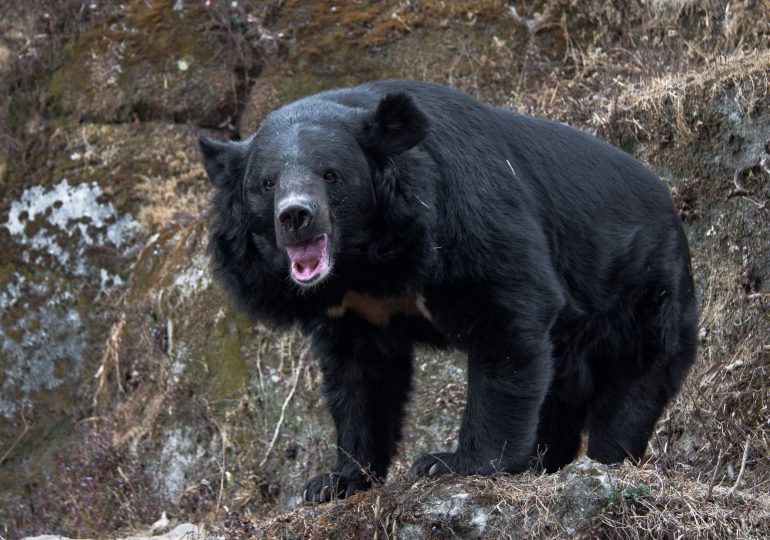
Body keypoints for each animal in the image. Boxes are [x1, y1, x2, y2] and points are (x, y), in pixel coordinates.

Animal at [199, 79, 698, 503]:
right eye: (267, 183)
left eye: (330, 174)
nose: (296, 216)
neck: (362, 263)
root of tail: (672, 208)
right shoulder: (351, 310)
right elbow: (359, 378)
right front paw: (335, 481)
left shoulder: (463, 217)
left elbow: (509, 315)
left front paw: (454, 463)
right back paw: (543, 462)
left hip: (643, 296)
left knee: (628, 392)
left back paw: (605, 462)